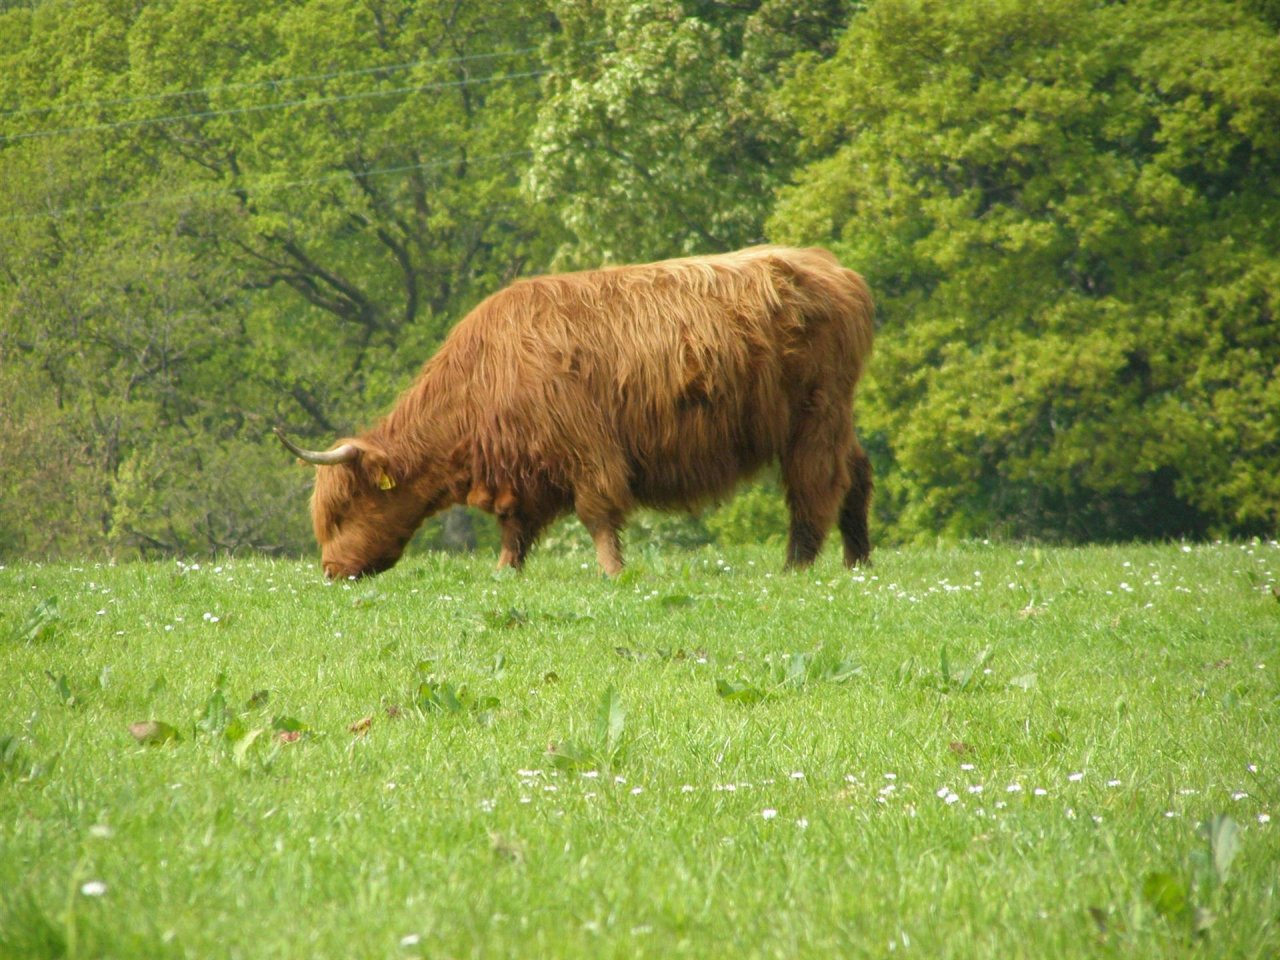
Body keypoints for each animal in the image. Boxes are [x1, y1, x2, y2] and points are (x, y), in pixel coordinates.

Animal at [277, 248, 880, 578]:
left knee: (818, 485)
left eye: (343, 510)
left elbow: (598, 514)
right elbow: (515, 530)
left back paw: (796, 566)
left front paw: (614, 573)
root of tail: (836, 269)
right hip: (833, 417)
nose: (331, 570)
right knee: (858, 474)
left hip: (814, 417)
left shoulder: (586, 449)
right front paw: (504, 573)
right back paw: (859, 563)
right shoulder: (524, 471)